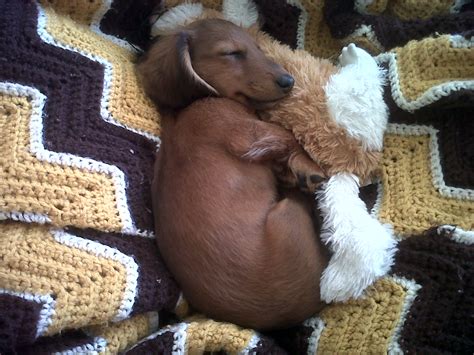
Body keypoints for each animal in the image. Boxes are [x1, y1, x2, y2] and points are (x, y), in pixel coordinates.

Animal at [137, 19, 330, 330]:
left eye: (258, 48)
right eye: (231, 53)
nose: (288, 81)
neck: (190, 106)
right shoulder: (244, 130)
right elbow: (287, 135)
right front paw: (309, 166)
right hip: (288, 212)